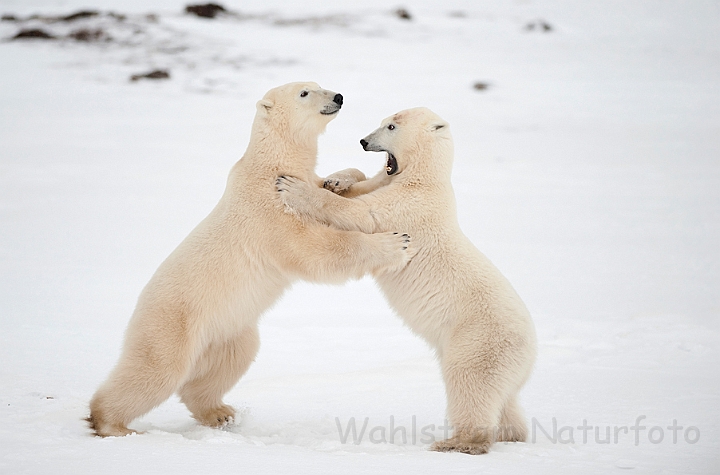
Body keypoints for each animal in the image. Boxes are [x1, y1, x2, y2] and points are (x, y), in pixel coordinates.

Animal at [85, 82, 414, 438]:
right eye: (304, 92)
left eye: (319, 85)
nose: (337, 97)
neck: (270, 164)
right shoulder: (267, 209)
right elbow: (313, 248)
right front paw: (395, 243)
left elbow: (332, 194)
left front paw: (338, 180)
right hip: (171, 324)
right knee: (155, 372)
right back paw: (112, 424)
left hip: (227, 330)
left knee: (227, 365)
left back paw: (219, 413)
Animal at [276, 107, 536, 454]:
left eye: (391, 126)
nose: (363, 141)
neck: (424, 178)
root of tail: (531, 351)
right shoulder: (390, 183)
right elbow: (363, 184)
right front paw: (337, 179)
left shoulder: (407, 206)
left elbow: (361, 214)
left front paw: (292, 187)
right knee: (505, 401)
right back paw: (512, 434)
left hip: (479, 341)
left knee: (470, 384)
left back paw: (457, 442)